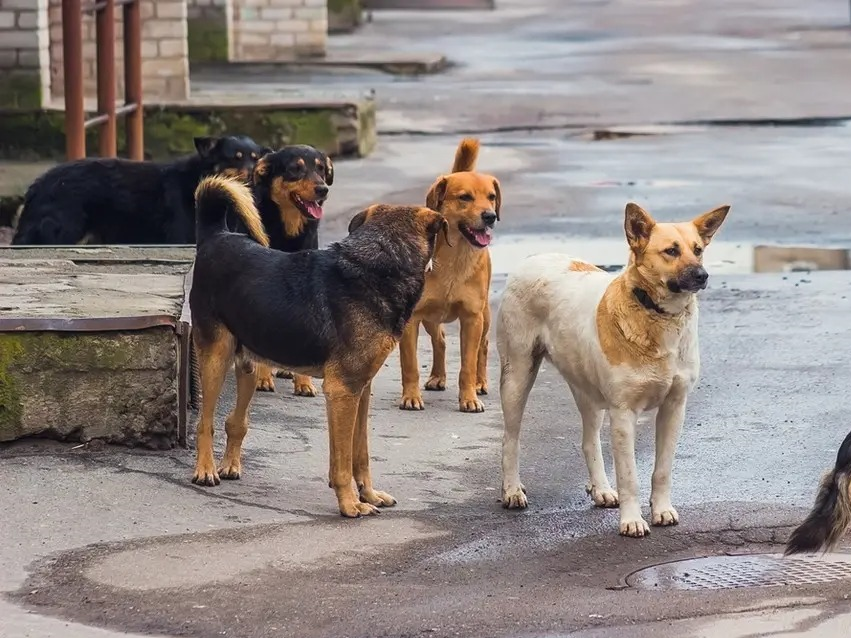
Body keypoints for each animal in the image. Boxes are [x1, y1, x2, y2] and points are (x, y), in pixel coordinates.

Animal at [12, 135, 270, 248]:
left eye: (255, 157)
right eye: (235, 157)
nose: (252, 174)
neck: (198, 178)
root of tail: (38, 185)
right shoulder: (180, 237)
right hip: (62, 232)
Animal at [191, 172, 450, 516]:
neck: (378, 264)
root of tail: (216, 235)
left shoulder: (360, 389)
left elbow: (360, 453)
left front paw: (368, 494)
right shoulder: (342, 391)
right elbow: (342, 461)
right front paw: (350, 504)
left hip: (248, 363)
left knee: (236, 420)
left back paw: (230, 464)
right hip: (215, 358)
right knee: (204, 422)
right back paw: (205, 470)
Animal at [245, 145, 334, 398]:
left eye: (321, 168)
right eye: (295, 168)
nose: (323, 189)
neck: (289, 231)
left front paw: (303, 382)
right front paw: (263, 378)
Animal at [398, 139, 500, 416]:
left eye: (491, 197)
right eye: (465, 197)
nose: (490, 216)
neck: (455, 257)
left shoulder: (472, 318)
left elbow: (468, 365)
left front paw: (469, 398)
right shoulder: (411, 318)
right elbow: (410, 364)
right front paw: (411, 397)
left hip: (485, 315)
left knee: (483, 346)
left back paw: (480, 382)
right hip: (431, 317)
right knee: (440, 340)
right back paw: (437, 377)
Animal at [500, 202, 732, 536]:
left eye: (698, 250)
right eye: (671, 251)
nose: (702, 275)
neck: (657, 315)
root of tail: (534, 258)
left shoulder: (674, 408)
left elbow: (662, 470)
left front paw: (661, 510)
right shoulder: (623, 414)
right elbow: (629, 475)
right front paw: (632, 520)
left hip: (586, 389)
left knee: (589, 441)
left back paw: (600, 489)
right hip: (517, 377)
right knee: (510, 439)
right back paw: (512, 490)